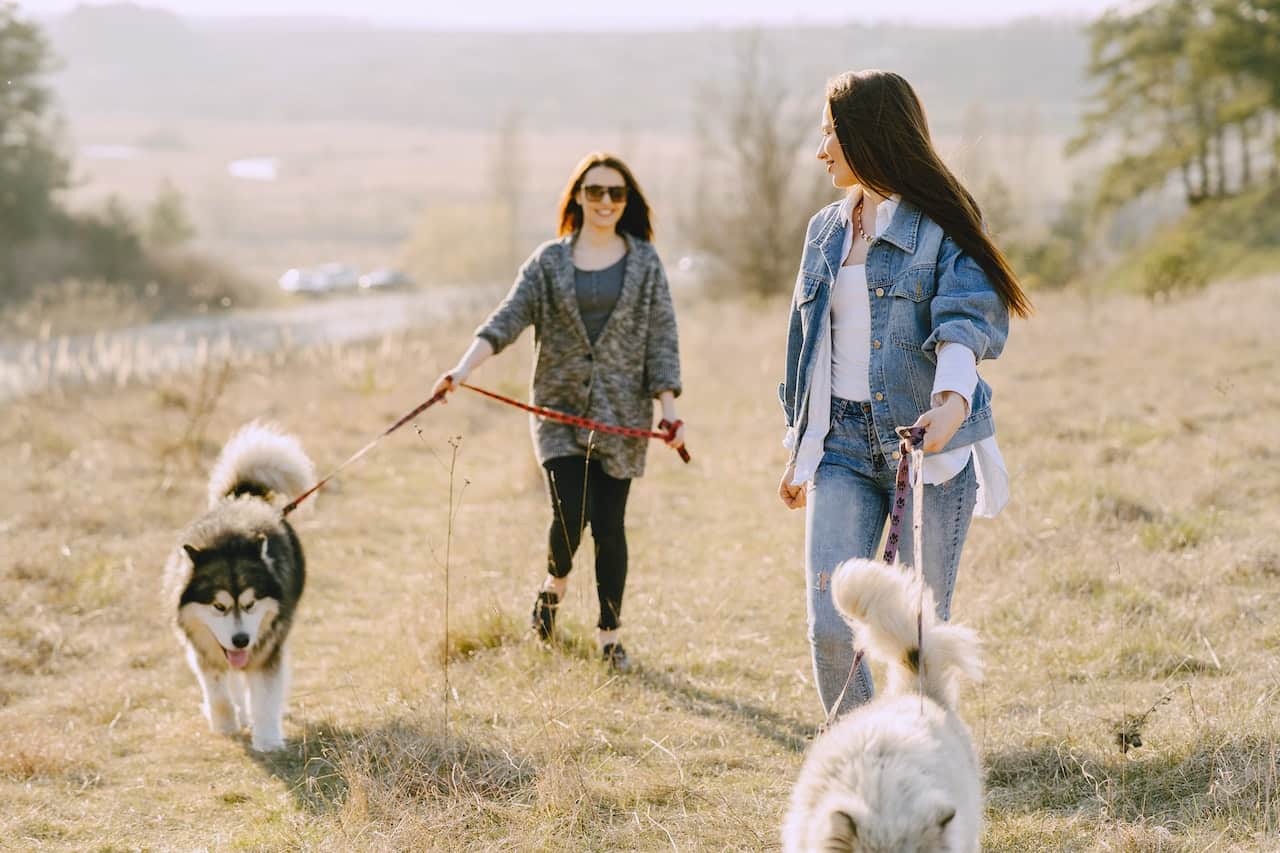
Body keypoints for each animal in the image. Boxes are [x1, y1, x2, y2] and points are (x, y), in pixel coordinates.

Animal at [161, 422, 313, 747]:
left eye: (250, 604)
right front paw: (225, 725)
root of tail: (244, 497)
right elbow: (219, 694)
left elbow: (265, 695)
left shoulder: (268, 647)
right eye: (219, 606)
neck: (229, 538)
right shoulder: (204, 651)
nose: (241, 639)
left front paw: (267, 741)